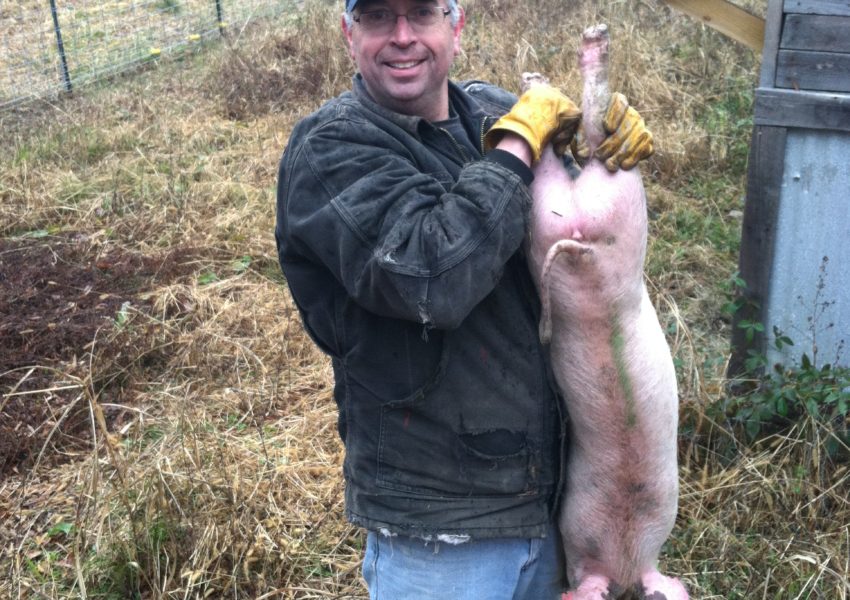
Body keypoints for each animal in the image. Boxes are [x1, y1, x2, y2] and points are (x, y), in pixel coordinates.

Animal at [524, 25, 689, 600]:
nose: (573, 584)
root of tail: (585, 243)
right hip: (621, 195)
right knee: (595, 135)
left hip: (556, 207)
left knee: (571, 147)